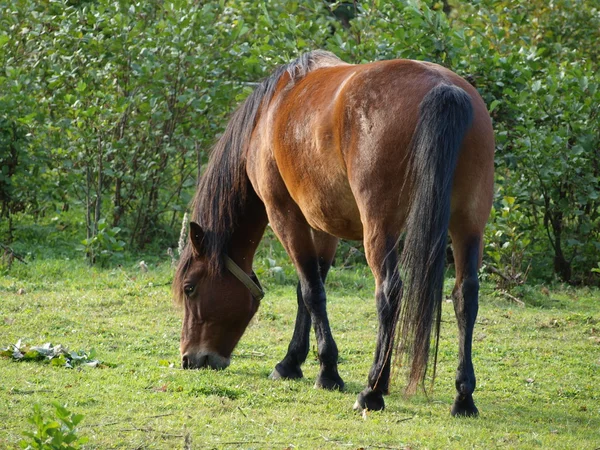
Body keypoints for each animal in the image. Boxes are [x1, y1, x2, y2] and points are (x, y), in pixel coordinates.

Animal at [171, 51, 494, 416]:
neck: (267, 116)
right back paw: (463, 397)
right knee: (466, 295)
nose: (190, 359)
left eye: (190, 288)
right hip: (469, 224)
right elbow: (308, 289)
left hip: (380, 227)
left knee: (389, 292)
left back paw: (372, 390)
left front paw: (327, 371)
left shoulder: (285, 216)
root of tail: (443, 88)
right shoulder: (324, 224)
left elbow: (312, 292)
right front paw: (292, 362)